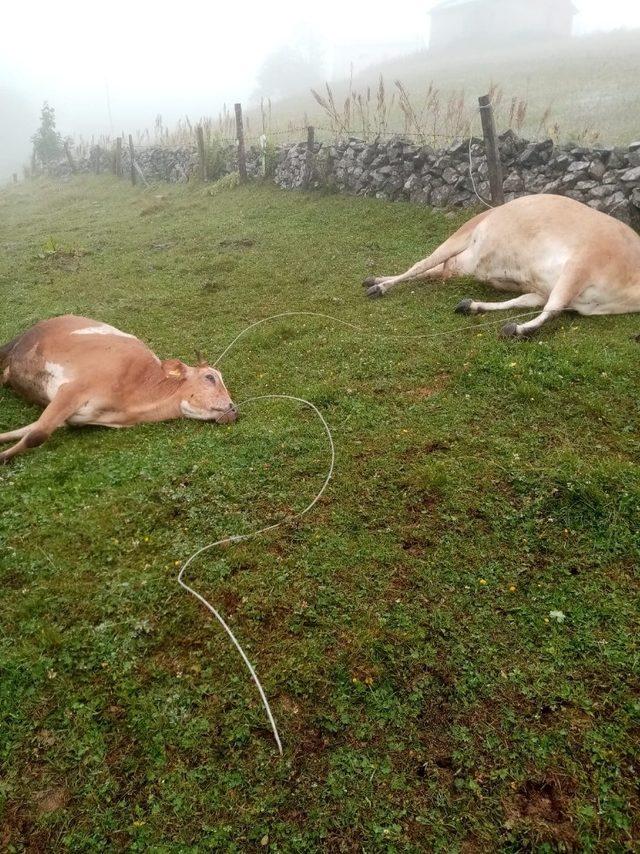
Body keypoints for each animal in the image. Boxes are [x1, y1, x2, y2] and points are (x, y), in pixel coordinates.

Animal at [0, 312, 238, 462]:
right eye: (210, 377)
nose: (234, 409)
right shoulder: (73, 389)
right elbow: (37, 435)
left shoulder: (73, 419)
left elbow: (31, 431)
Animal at [362, 196, 640, 340]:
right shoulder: (579, 265)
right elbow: (549, 309)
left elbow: (530, 304)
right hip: (465, 237)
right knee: (423, 264)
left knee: (434, 270)